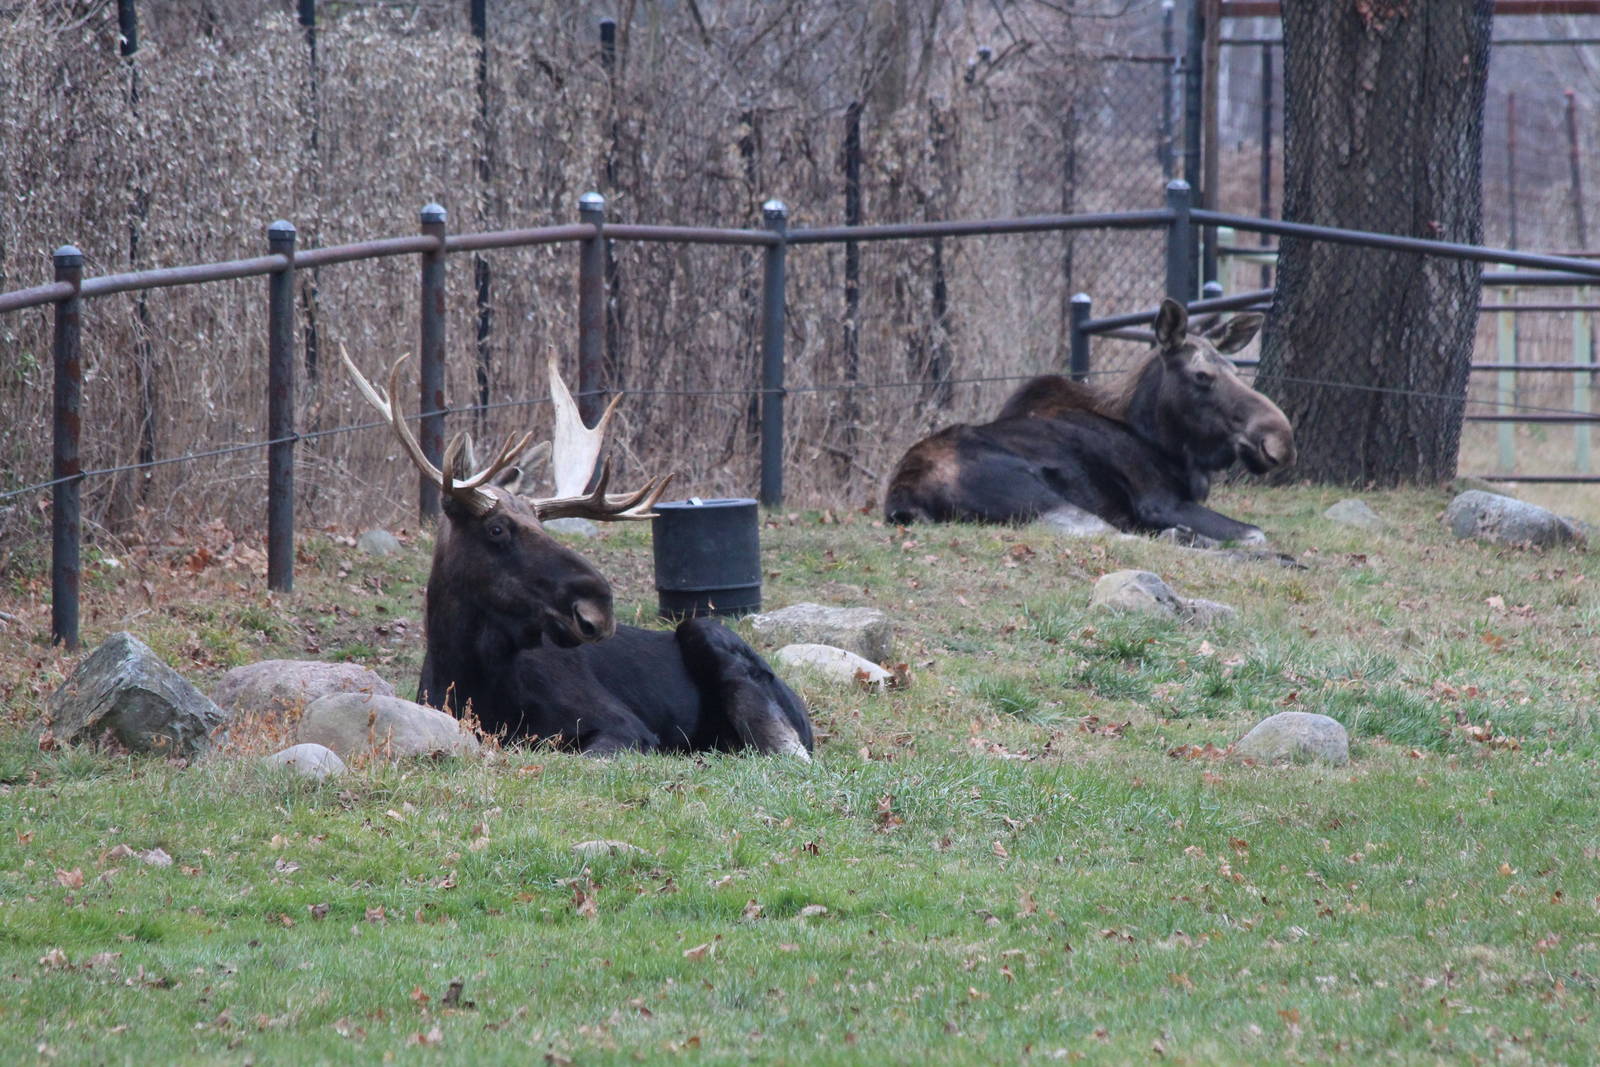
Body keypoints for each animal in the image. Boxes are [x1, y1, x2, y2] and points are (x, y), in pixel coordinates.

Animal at [343, 348, 813, 759]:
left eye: (542, 524)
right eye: (497, 529)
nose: (598, 609)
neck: (470, 674)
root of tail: (803, 709)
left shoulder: (626, 728)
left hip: (712, 638)